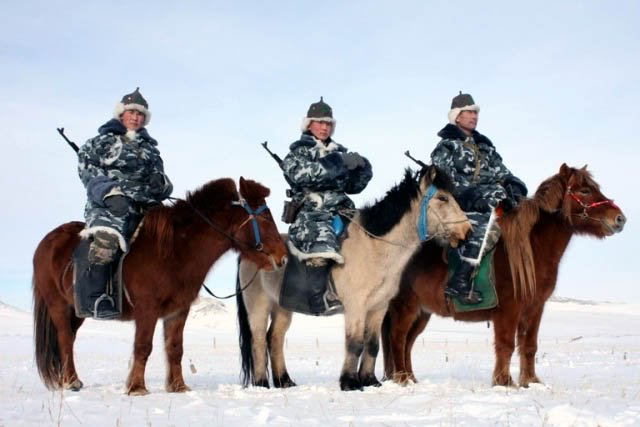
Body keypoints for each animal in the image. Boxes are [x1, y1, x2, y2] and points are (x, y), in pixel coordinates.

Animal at [31, 176, 288, 394]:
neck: (175, 250)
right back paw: (71, 381)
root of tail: (46, 243)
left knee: (69, 339)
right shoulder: (148, 308)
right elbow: (143, 346)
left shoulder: (178, 310)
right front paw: (136, 387)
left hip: (77, 311)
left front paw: (178, 386)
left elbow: (175, 348)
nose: (283, 257)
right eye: (265, 217)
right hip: (58, 305)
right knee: (65, 339)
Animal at [235, 166, 470, 392]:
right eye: (442, 198)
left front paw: (369, 380)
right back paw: (262, 383)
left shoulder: (378, 307)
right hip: (258, 306)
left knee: (274, 339)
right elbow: (355, 344)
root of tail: (248, 253)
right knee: (258, 341)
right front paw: (349, 383)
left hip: (283, 308)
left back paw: (285, 381)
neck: (374, 247)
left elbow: (372, 345)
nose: (466, 230)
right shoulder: (355, 307)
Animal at [382, 164, 628, 388]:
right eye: (585, 191)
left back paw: (411, 379)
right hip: (405, 307)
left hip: (422, 312)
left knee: (408, 342)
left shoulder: (534, 308)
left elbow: (529, 346)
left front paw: (531, 381)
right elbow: (506, 344)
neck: (531, 250)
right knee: (398, 338)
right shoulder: (509, 309)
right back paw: (402, 379)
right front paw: (504, 382)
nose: (620, 219)